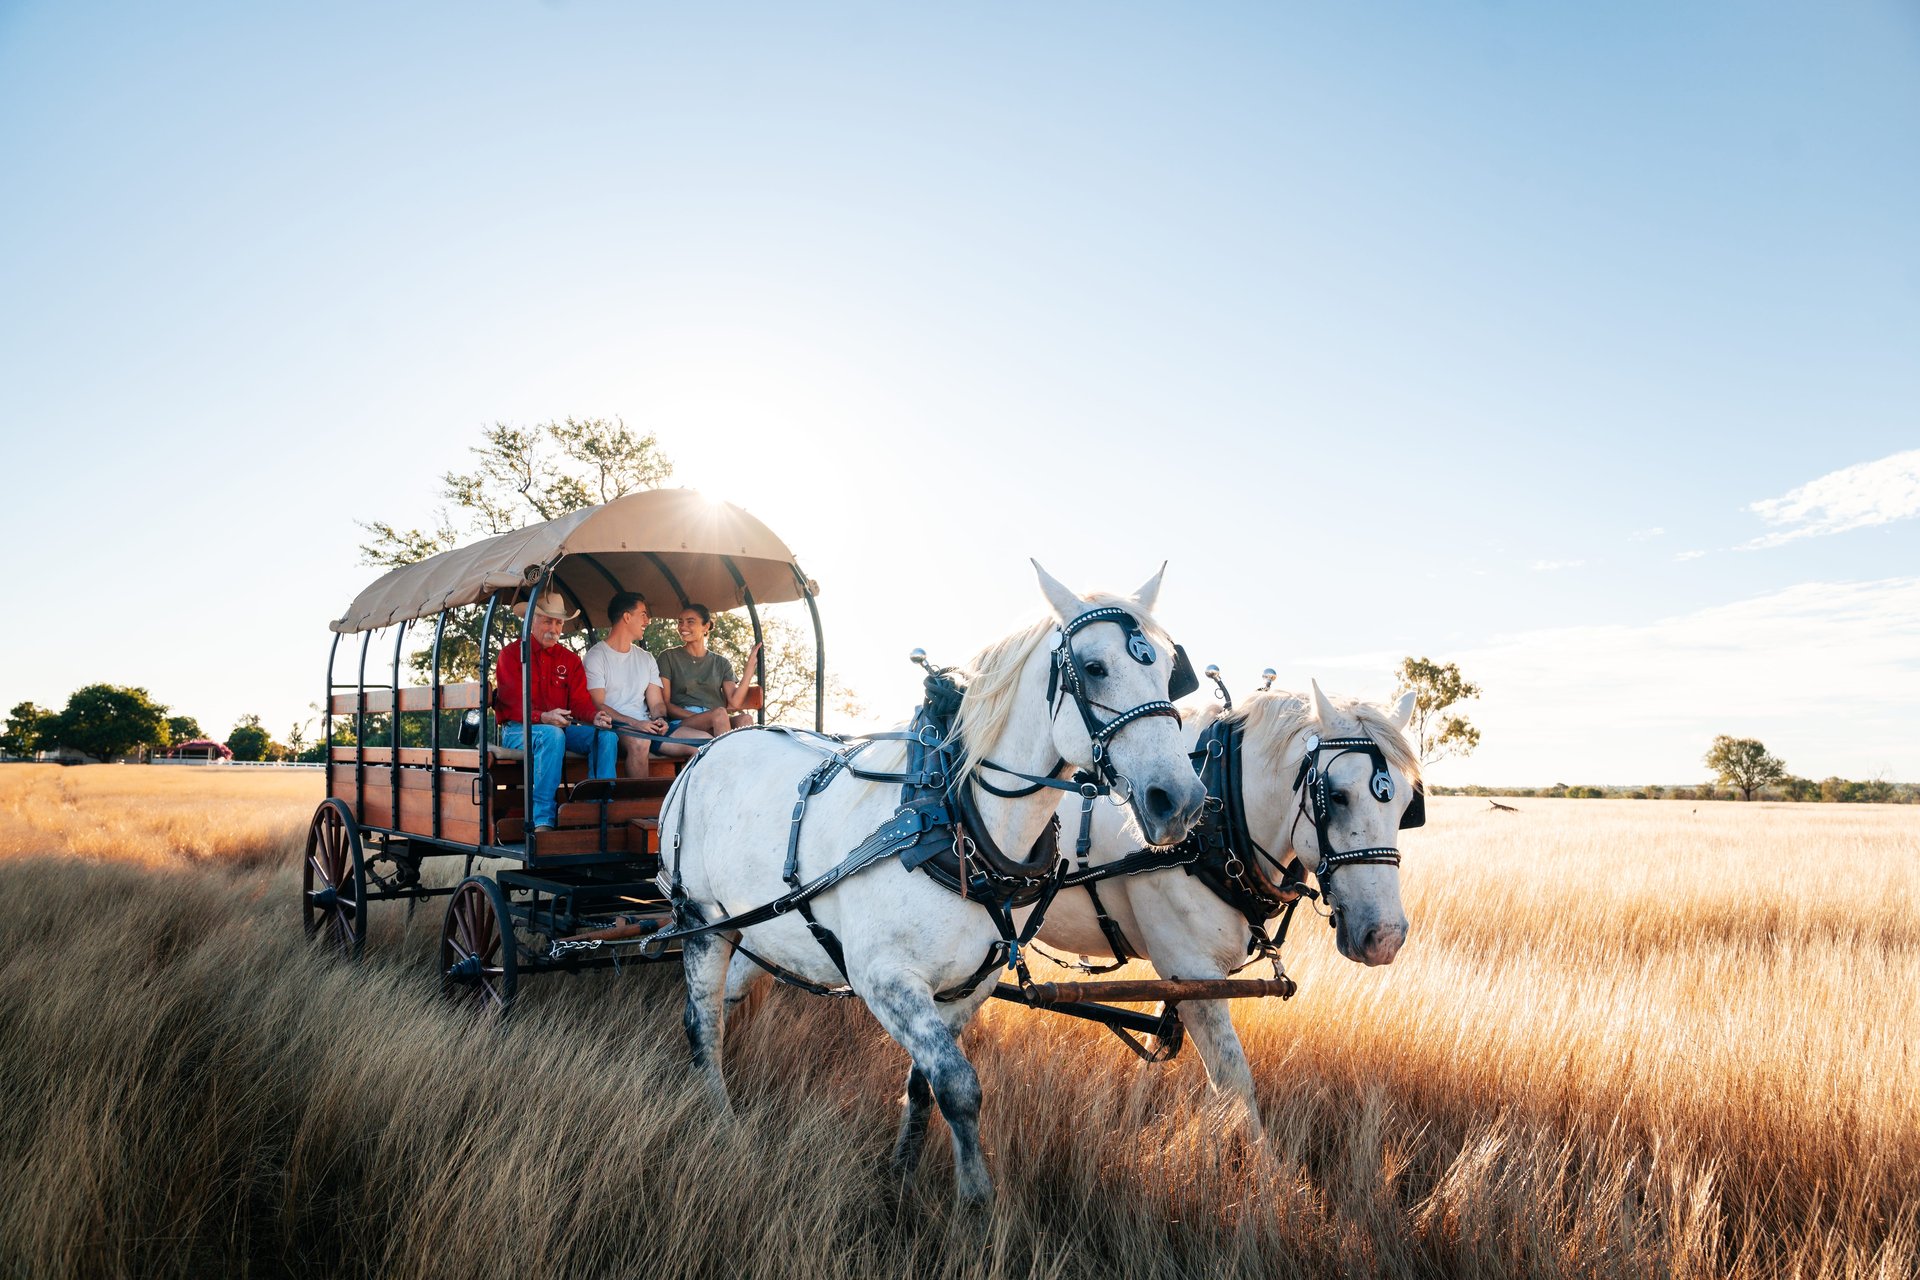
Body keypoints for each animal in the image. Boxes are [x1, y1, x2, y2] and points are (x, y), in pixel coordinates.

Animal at [657, 562, 1209, 1202]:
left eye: (1169, 670)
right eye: (1094, 667)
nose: (1180, 800)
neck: (951, 815)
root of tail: (707, 751)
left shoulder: (968, 986)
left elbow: (926, 1085)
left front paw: (902, 1176)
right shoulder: (886, 980)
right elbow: (959, 1086)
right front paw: (976, 1203)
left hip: (759, 929)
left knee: (726, 1003)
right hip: (701, 921)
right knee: (703, 1025)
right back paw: (722, 1126)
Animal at [1026, 680, 1423, 1141]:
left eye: (1408, 806)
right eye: (1337, 797)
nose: (1385, 937)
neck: (1217, 821)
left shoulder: (1186, 979)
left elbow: (1160, 1043)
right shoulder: (1193, 970)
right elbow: (1235, 1083)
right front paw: (1260, 1162)